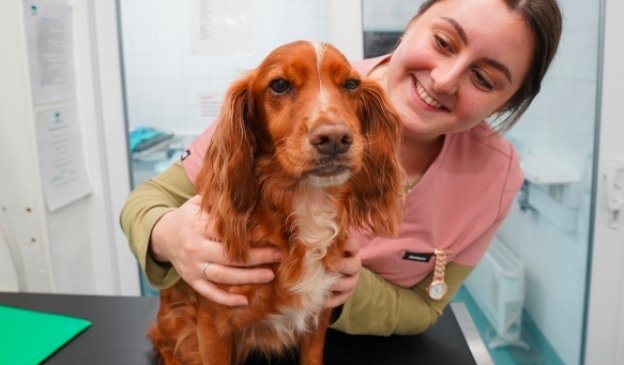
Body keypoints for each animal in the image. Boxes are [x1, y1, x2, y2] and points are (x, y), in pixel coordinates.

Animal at [150, 40, 404, 364]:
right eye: (279, 85)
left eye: (351, 84)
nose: (335, 138)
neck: (307, 202)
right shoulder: (212, 324)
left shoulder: (317, 312)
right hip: (176, 325)